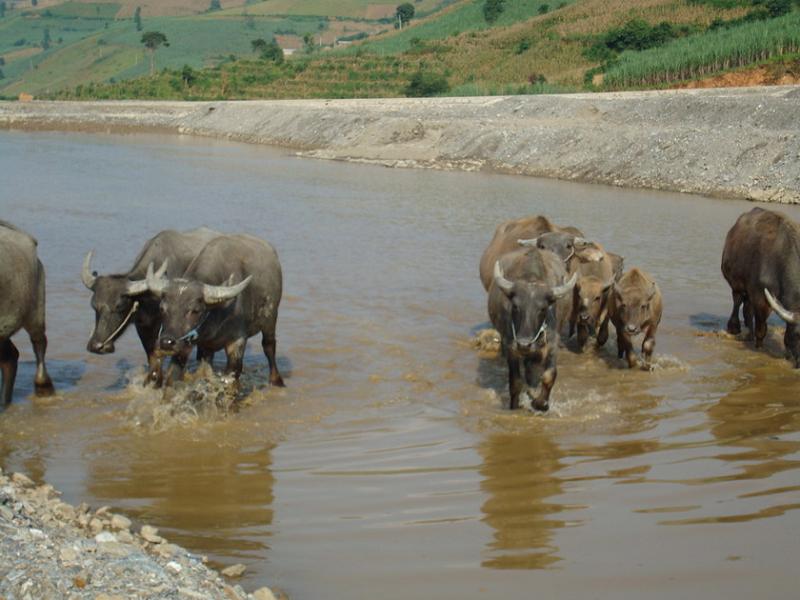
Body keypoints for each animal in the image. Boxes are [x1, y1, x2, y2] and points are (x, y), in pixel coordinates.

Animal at [82, 227, 219, 386]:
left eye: (120, 306)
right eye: (94, 305)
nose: (97, 346)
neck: (148, 298)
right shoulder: (144, 326)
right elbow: (153, 363)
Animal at [488, 247, 576, 412]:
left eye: (542, 308)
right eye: (516, 306)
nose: (524, 344)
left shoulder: (552, 343)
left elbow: (549, 375)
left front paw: (540, 403)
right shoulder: (510, 346)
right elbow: (515, 382)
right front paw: (516, 405)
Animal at [720, 206, 800, 366]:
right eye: (798, 334)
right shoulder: (760, 299)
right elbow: (761, 328)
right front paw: (759, 347)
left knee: (747, 308)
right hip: (736, 284)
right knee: (737, 301)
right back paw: (734, 328)